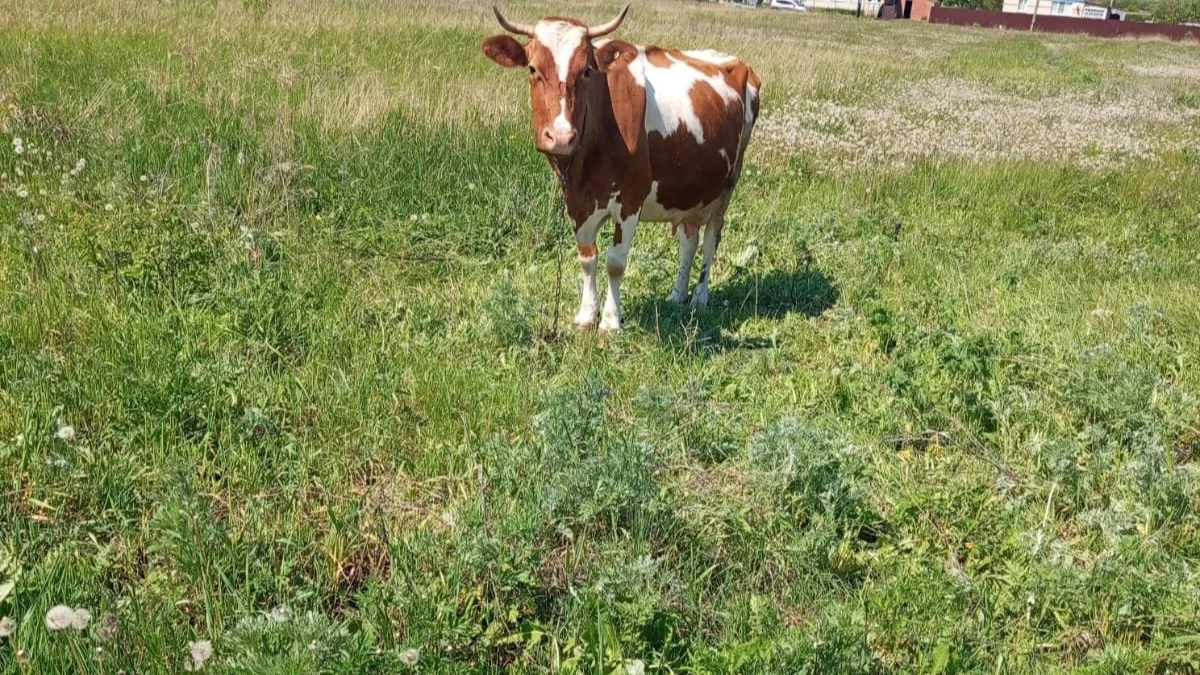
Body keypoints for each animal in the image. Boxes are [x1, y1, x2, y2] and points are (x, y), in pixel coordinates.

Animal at [482, 4, 761, 332]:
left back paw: (699, 298)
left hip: (726, 187)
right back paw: (677, 294)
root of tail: (734, 61)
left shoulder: (630, 200)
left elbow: (615, 262)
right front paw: (586, 315)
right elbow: (587, 258)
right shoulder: (577, 203)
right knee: (689, 241)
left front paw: (611, 320)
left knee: (710, 241)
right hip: (689, 192)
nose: (561, 137)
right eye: (532, 70)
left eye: (586, 71)